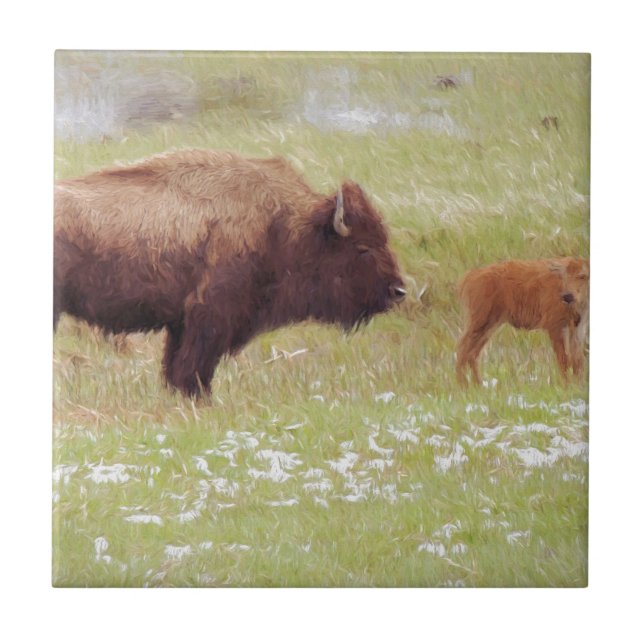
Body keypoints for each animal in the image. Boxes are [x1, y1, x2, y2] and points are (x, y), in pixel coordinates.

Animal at [54, 149, 406, 397]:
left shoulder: (183, 324)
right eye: (362, 248)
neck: (283, 225)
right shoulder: (209, 317)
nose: (398, 291)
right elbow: (192, 368)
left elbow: (176, 366)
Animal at [455, 257, 589, 386]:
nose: (567, 296)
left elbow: (577, 359)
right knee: (463, 348)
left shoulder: (578, 327)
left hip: (489, 325)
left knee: (473, 352)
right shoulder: (555, 326)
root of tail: (470, 276)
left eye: (582, 276)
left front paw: (577, 385)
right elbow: (564, 359)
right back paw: (464, 386)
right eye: (563, 276)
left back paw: (477, 385)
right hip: (480, 321)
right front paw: (566, 386)